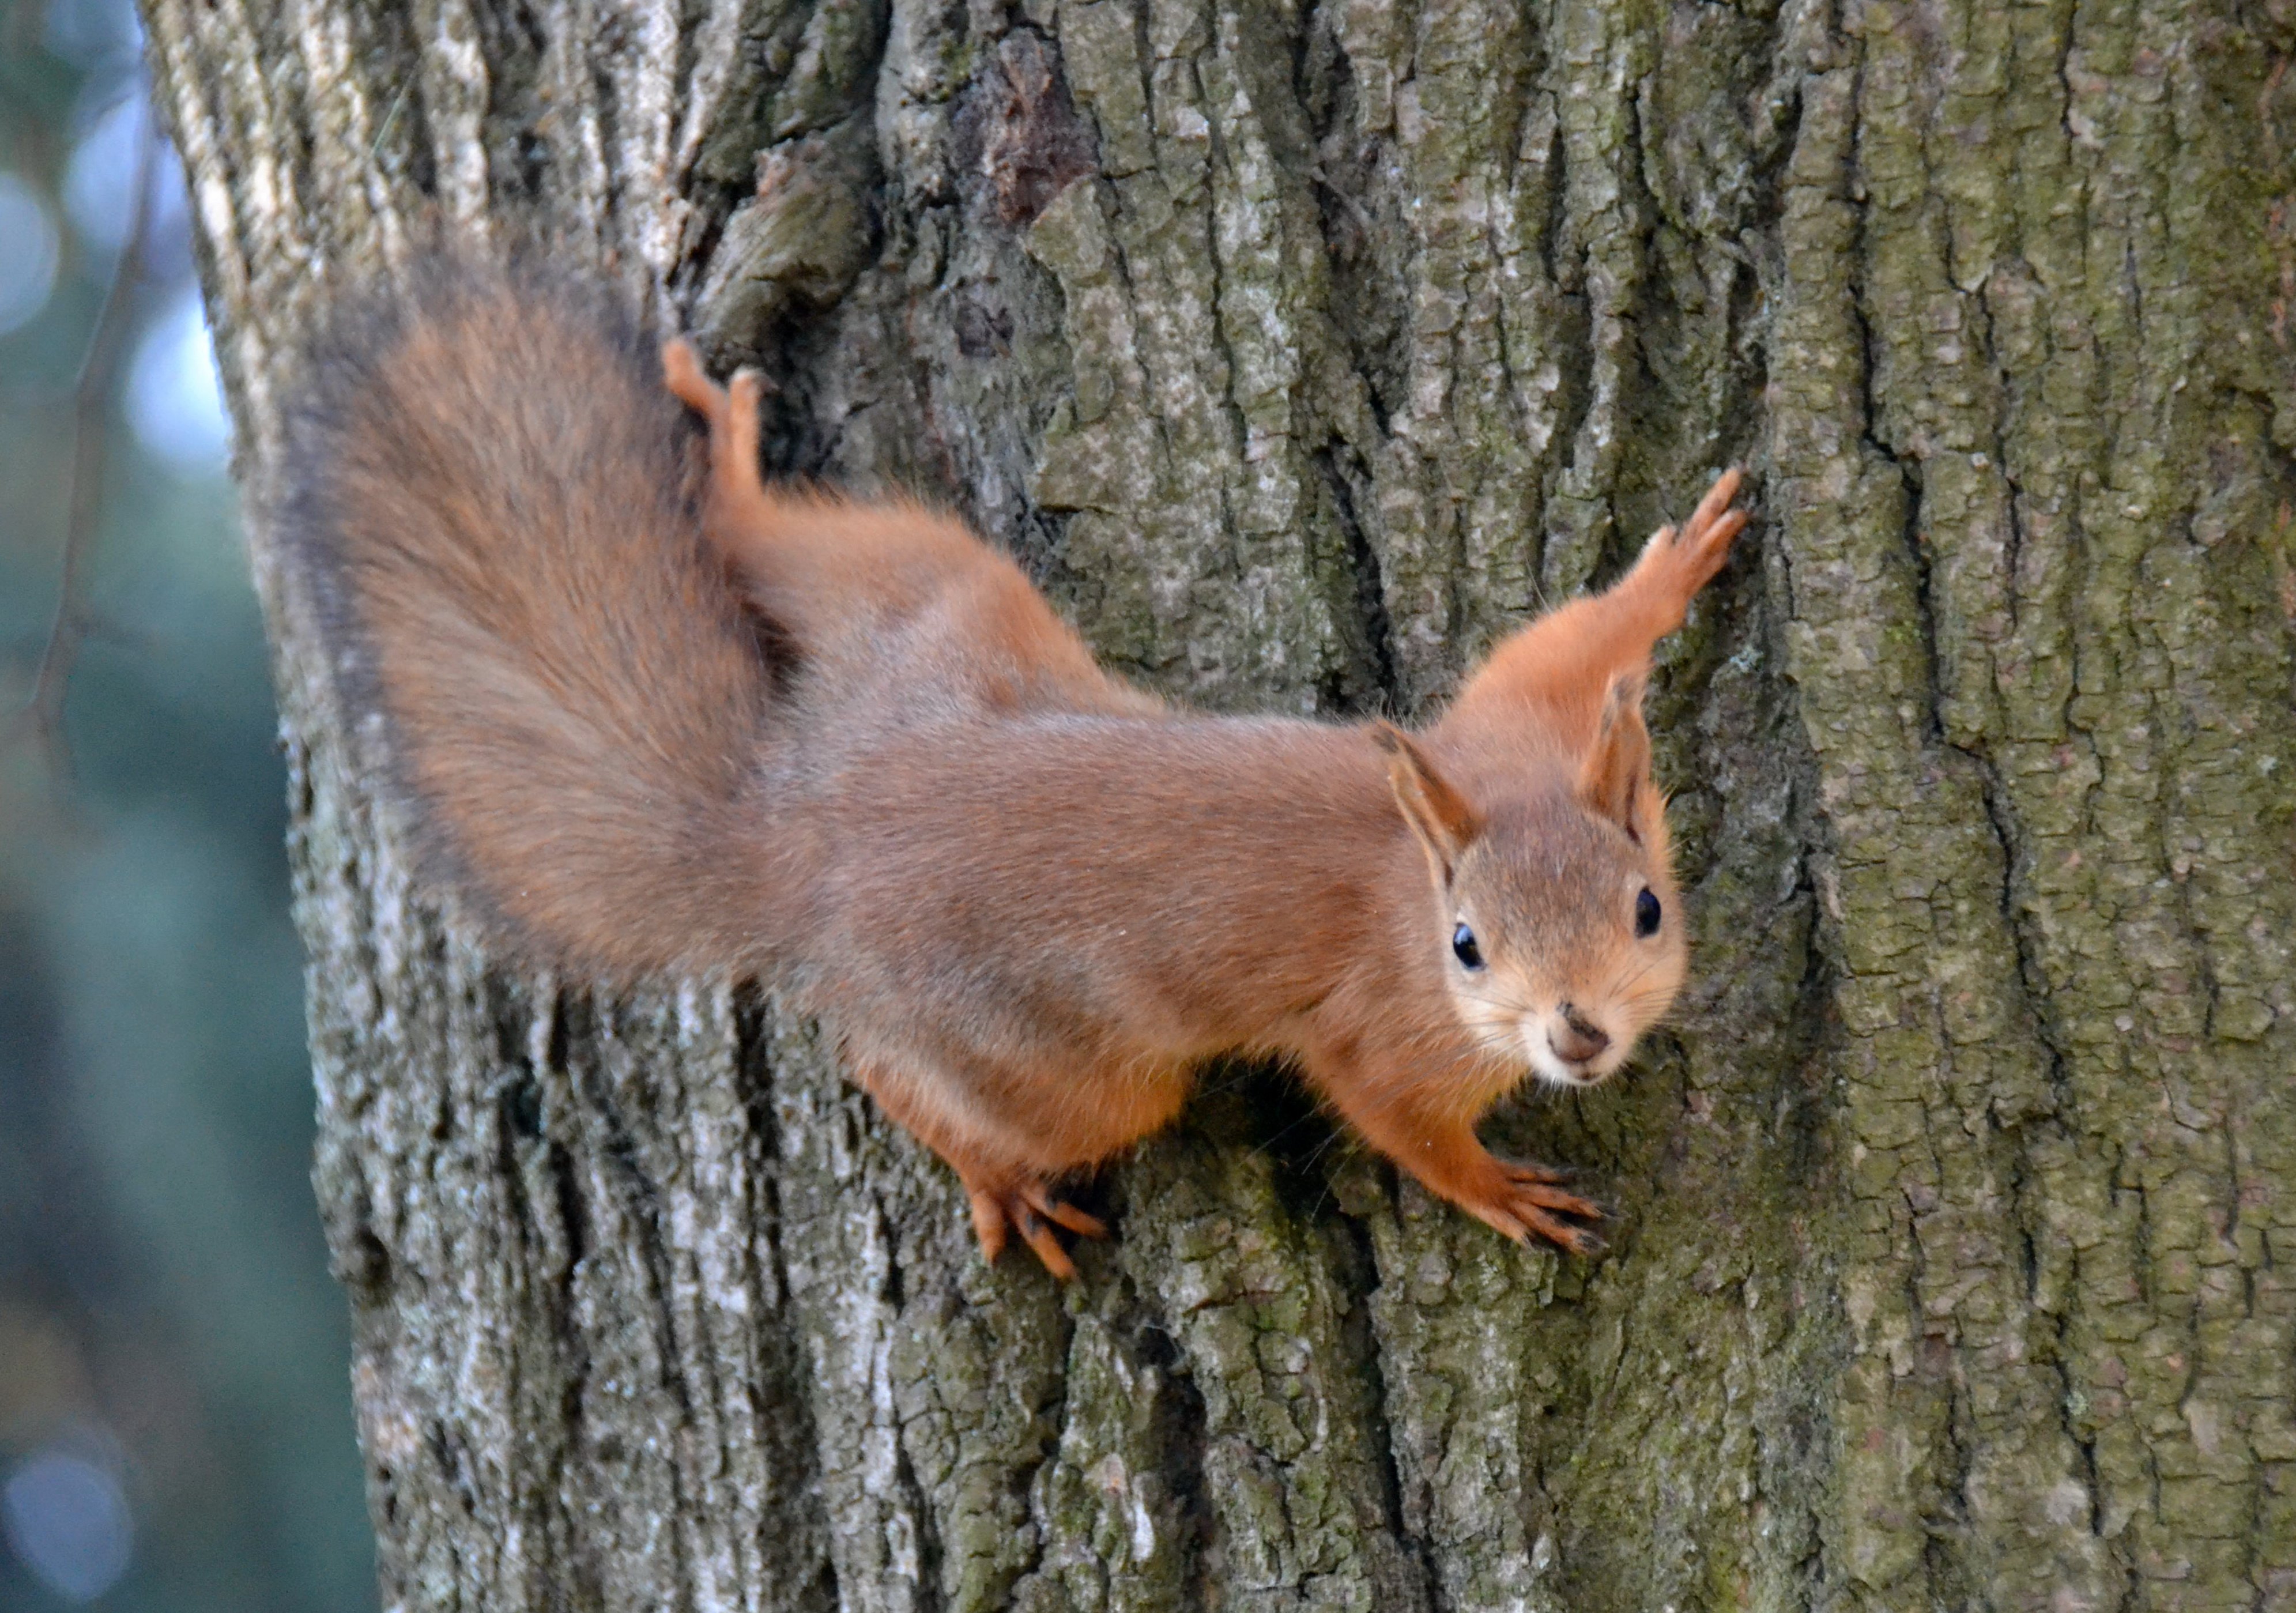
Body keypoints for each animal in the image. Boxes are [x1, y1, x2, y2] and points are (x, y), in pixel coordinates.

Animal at [291, 259, 1736, 1287]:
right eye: (1465, 948)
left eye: (1644, 908)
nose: (1576, 1036)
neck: (1408, 866)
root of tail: (805, 833)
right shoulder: (1380, 1027)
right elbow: (1395, 1121)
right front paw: (1497, 1191)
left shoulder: (1504, 729)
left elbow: (1558, 641)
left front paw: (1671, 571)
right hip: (1059, 1060)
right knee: (891, 1068)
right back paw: (991, 1176)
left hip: (936, 605)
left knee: (762, 541)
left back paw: (728, 465)